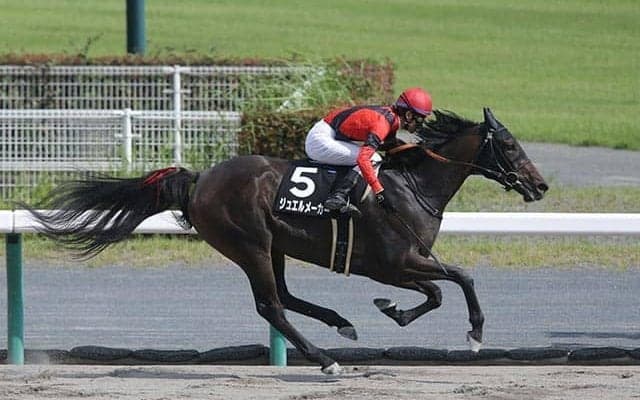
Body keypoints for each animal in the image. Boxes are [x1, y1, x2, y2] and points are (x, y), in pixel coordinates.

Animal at [25, 108, 548, 374]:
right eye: (510, 145)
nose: (540, 185)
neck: (411, 187)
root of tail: (200, 180)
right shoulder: (392, 263)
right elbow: (458, 278)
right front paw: (474, 334)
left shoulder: (404, 264)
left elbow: (439, 290)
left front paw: (393, 311)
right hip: (249, 244)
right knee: (271, 305)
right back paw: (325, 359)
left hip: (274, 244)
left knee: (286, 296)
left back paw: (340, 324)